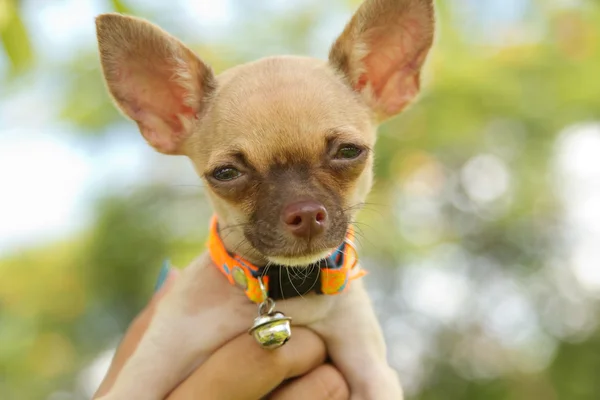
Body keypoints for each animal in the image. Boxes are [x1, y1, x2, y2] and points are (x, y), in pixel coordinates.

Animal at [94, 0, 434, 400]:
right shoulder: (141, 376)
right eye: (226, 173)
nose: (305, 213)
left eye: (349, 152)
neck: (290, 291)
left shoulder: (372, 373)